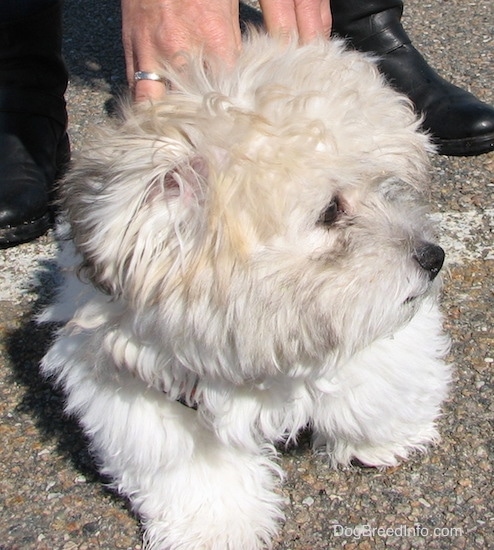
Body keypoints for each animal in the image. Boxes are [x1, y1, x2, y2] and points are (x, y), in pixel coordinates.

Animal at [42, 32, 452, 548]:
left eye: (383, 187)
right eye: (330, 211)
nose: (433, 257)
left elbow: (379, 376)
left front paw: (389, 437)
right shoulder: (142, 387)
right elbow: (191, 473)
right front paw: (214, 527)